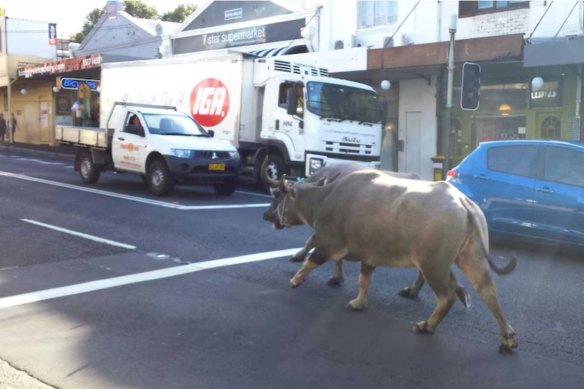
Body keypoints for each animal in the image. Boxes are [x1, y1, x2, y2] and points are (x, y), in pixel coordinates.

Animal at [272, 169, 516, 352]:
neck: (324, 198)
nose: (268, 216)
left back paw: (427, 325)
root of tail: (463, 202)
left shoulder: (328, 243)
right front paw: (358, 303)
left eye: (279, 197)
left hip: (433, 264)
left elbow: (312, 260)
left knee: (447, 296)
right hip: (471, 255)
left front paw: (295, 280)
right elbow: (364, 279)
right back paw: (508, 336)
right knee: (486, 289)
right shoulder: (369, 254)